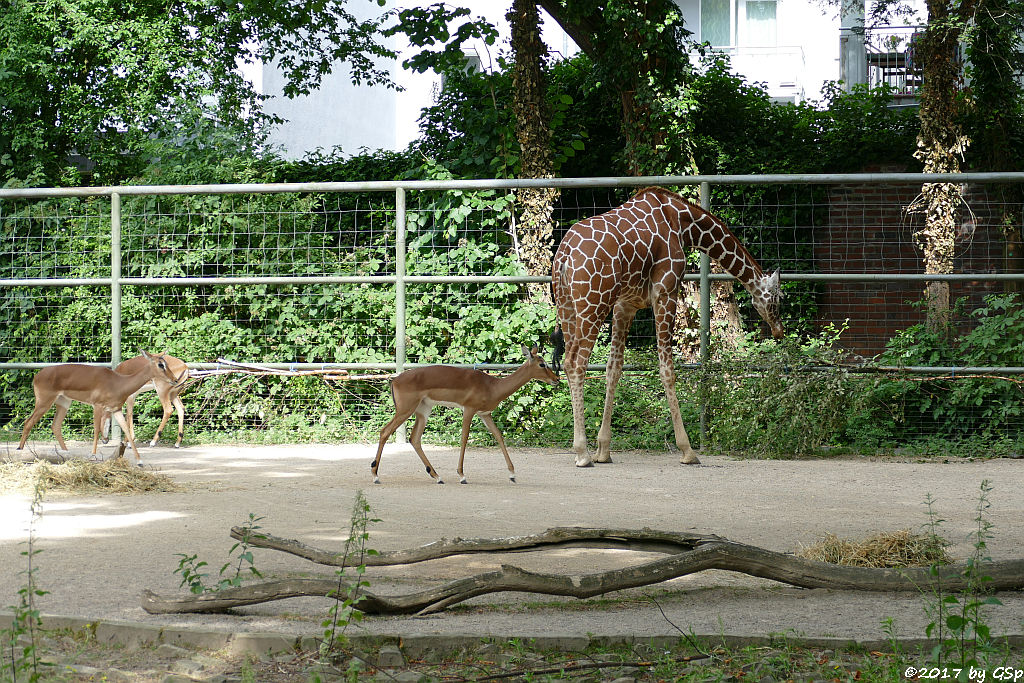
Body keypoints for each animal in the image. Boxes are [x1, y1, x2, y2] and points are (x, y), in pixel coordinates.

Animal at [17, 350, 184, 466]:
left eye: (166, 363)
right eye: (160, 364)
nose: (175, 379)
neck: (118, 382)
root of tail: (37, 376)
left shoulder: (116, 410)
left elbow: (127, 431)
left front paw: (140, 461)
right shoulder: (97, 406)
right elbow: (97, 430)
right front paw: (93, 455)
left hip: (63, 403)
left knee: (55, 425)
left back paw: (65, 453)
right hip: (44, 402)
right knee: (28, 422)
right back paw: (19, 450)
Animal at [370, 348, 561, 485]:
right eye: (542, 364)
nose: (556, 379)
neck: (492, 386)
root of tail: (395, 380)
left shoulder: (485, 414)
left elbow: (499, 436)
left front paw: (512, 475)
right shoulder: (469, 410)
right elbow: (464, 438)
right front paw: (462, 475)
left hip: (422, 411)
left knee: (414, 438)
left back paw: (437, 477)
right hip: (405, 410)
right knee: (384, 432)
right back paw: (375, 476)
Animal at [552, 184, 782, 466]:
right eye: (778, 299)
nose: (779, 330)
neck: (683, 223)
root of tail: (564, 256)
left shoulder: (625, 304)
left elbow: (613, 368)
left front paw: (604, 449)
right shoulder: (665, 292)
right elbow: (668, 370)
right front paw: (687, 450)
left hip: (567, 306)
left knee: (568, 362)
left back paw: (585, 450)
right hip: (593, 304)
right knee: (577, 363)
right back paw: (582, 453)